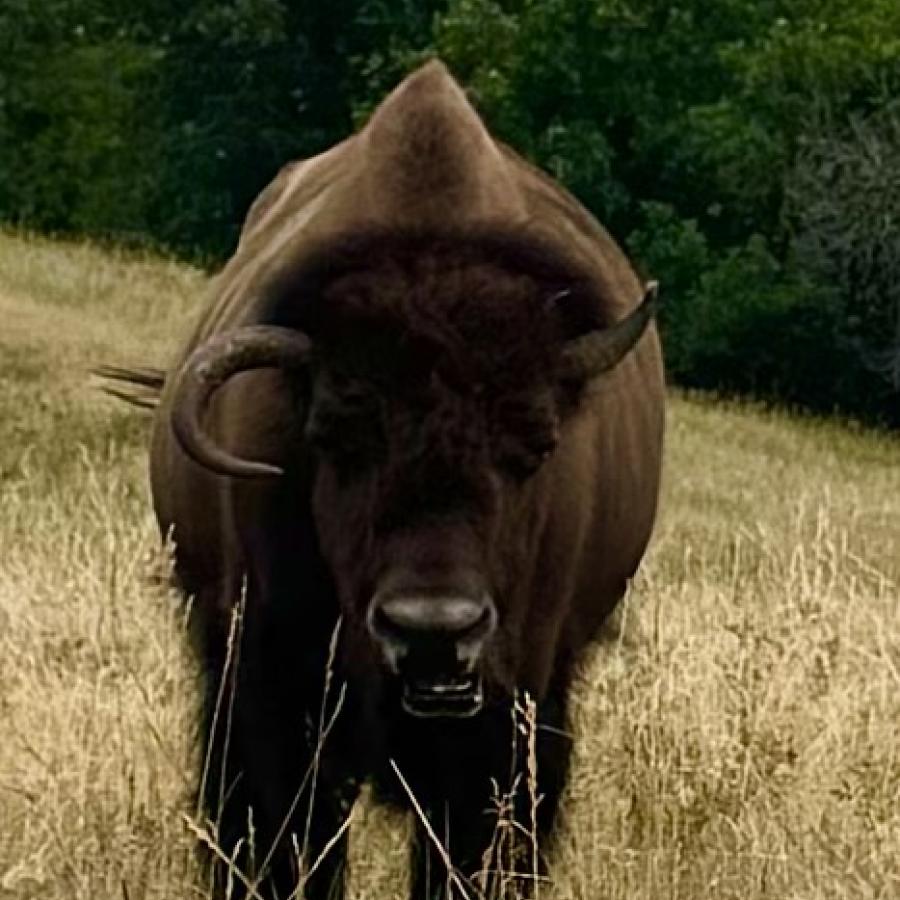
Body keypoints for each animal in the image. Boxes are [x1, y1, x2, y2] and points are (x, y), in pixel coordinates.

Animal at [102, 61, 664, 900]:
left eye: (534, 444)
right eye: (335, 438)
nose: (433, 632)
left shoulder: (513, 720)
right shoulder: (272, 689)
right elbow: (287, 836)